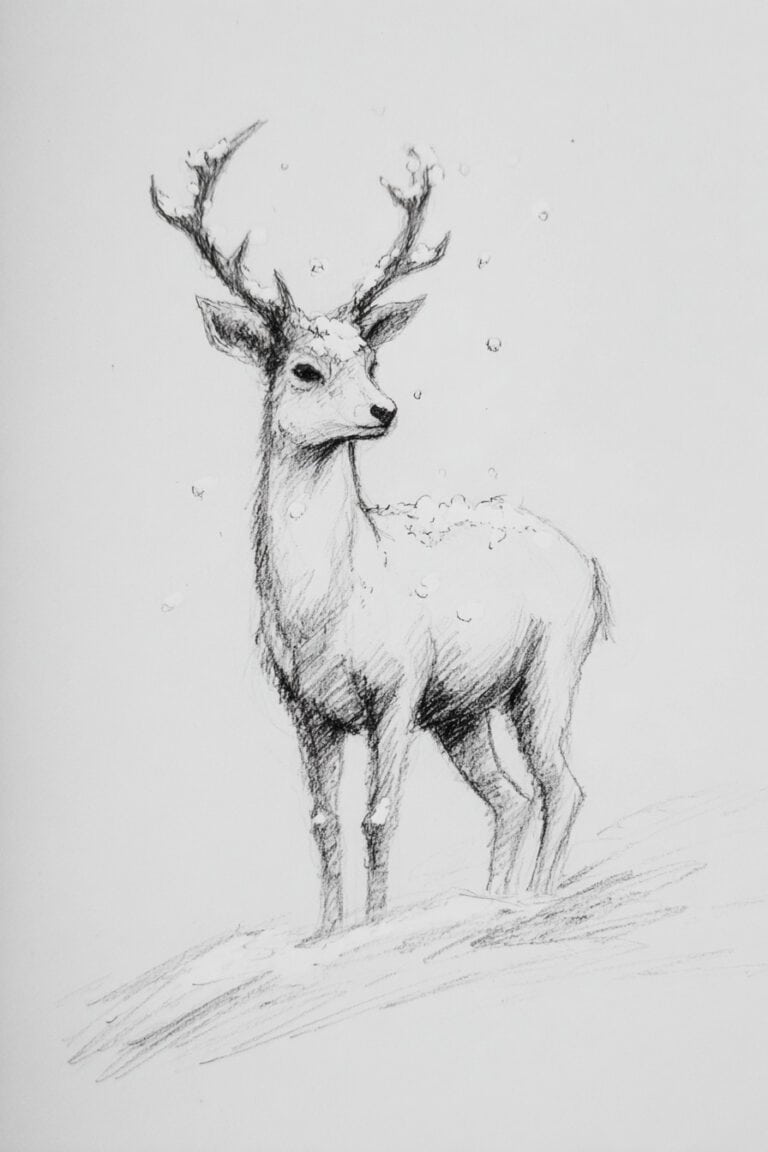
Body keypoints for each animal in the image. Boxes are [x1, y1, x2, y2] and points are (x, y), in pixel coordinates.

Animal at [150, 121, 612, 936]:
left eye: (369, 355)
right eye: (303, 369)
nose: (384, 409)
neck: (326, 610)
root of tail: (592, 568)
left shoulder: (398, 687)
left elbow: (379, 815)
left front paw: (375, 928)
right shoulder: (306, 709)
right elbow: (323, 822)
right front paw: (331, 932)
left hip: (551, 668)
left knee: (563, 786)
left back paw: (535, 899)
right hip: (464, 713)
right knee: (514, 797)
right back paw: (493, 899)